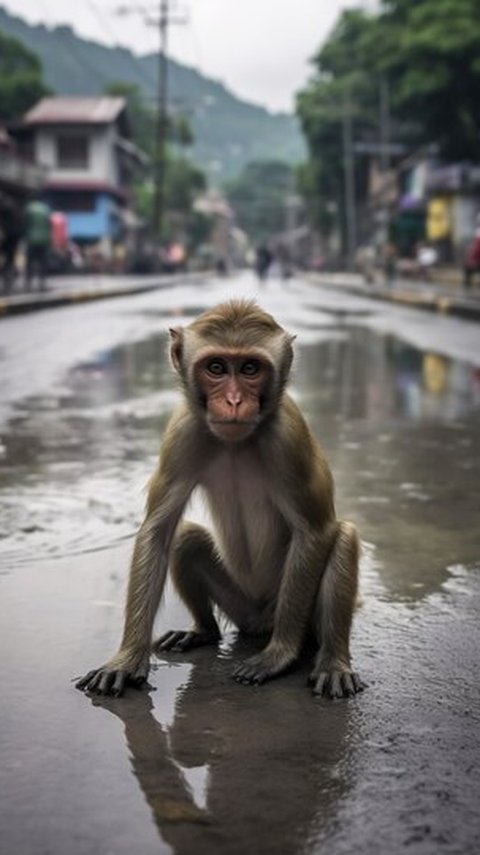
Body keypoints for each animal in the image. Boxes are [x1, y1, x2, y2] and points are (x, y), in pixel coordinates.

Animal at [75, 298, 362, 700]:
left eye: (250, 368)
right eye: (215, 368)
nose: (234, 400)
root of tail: (260, 621)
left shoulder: (288, 437)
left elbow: (315, 532)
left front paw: (279, 656)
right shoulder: (182, 432)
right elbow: (158, 530)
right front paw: (127, 659)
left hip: (287, 614)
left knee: (343, 537)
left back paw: (332, 660)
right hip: (240, 606)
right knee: (187, 539)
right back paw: (203, 631)